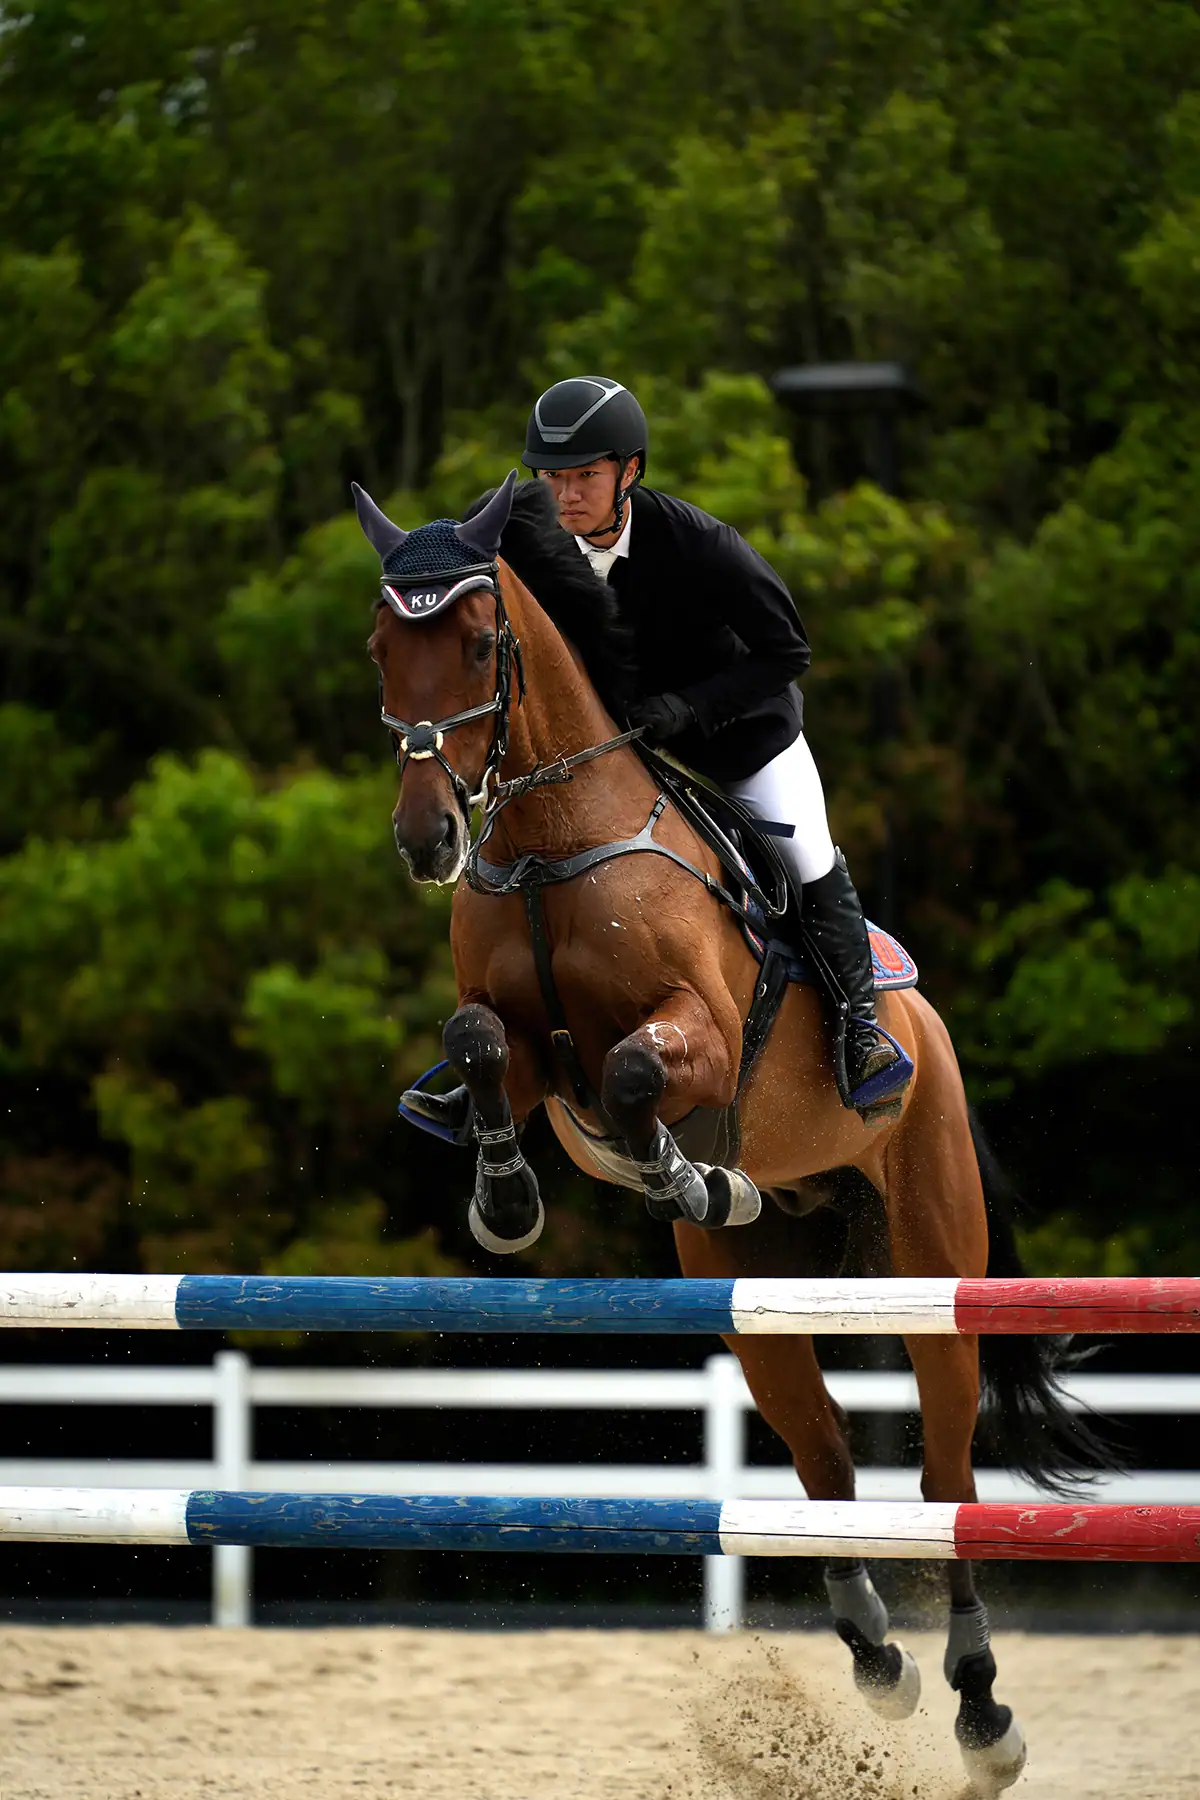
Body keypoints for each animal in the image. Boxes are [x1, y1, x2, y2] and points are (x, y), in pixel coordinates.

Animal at [356, 470, 1112, 1793]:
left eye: (481, 641)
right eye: (380, 649)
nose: (427, 838)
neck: (553, 845)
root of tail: (928, 1024)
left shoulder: (698, 1033)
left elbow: (632, 1068)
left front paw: (689, 1170)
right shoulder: (524, 1047)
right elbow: (482, 1042)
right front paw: (507, 1200)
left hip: (932, 1261)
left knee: (945, 1473)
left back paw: (981, 1709)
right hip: (757, 1303)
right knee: (823, 1461)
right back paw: (877, 1658)